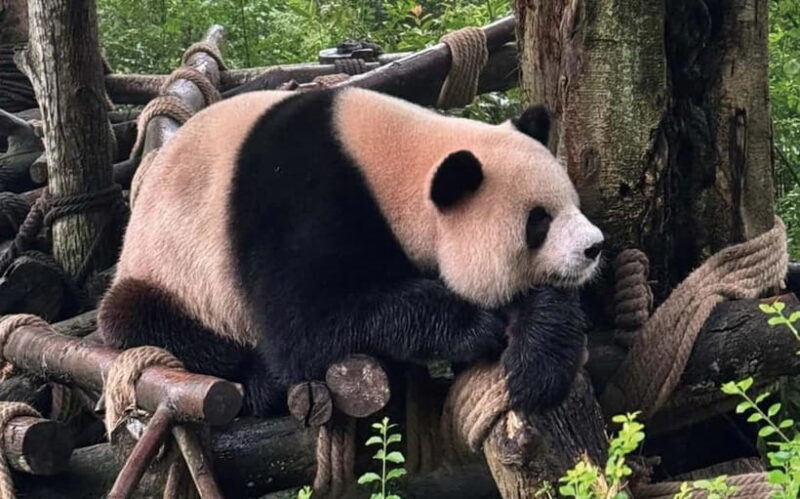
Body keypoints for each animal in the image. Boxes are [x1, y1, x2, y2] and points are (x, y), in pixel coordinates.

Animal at [98, 87, 604, 416]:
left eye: (571, 204)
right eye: (538, 221)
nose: (594, 247)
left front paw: (536, 363)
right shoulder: (302, 200)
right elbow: (305, 322)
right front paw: (474, 326)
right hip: (171, 271)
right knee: (153, 322)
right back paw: (261, 383)